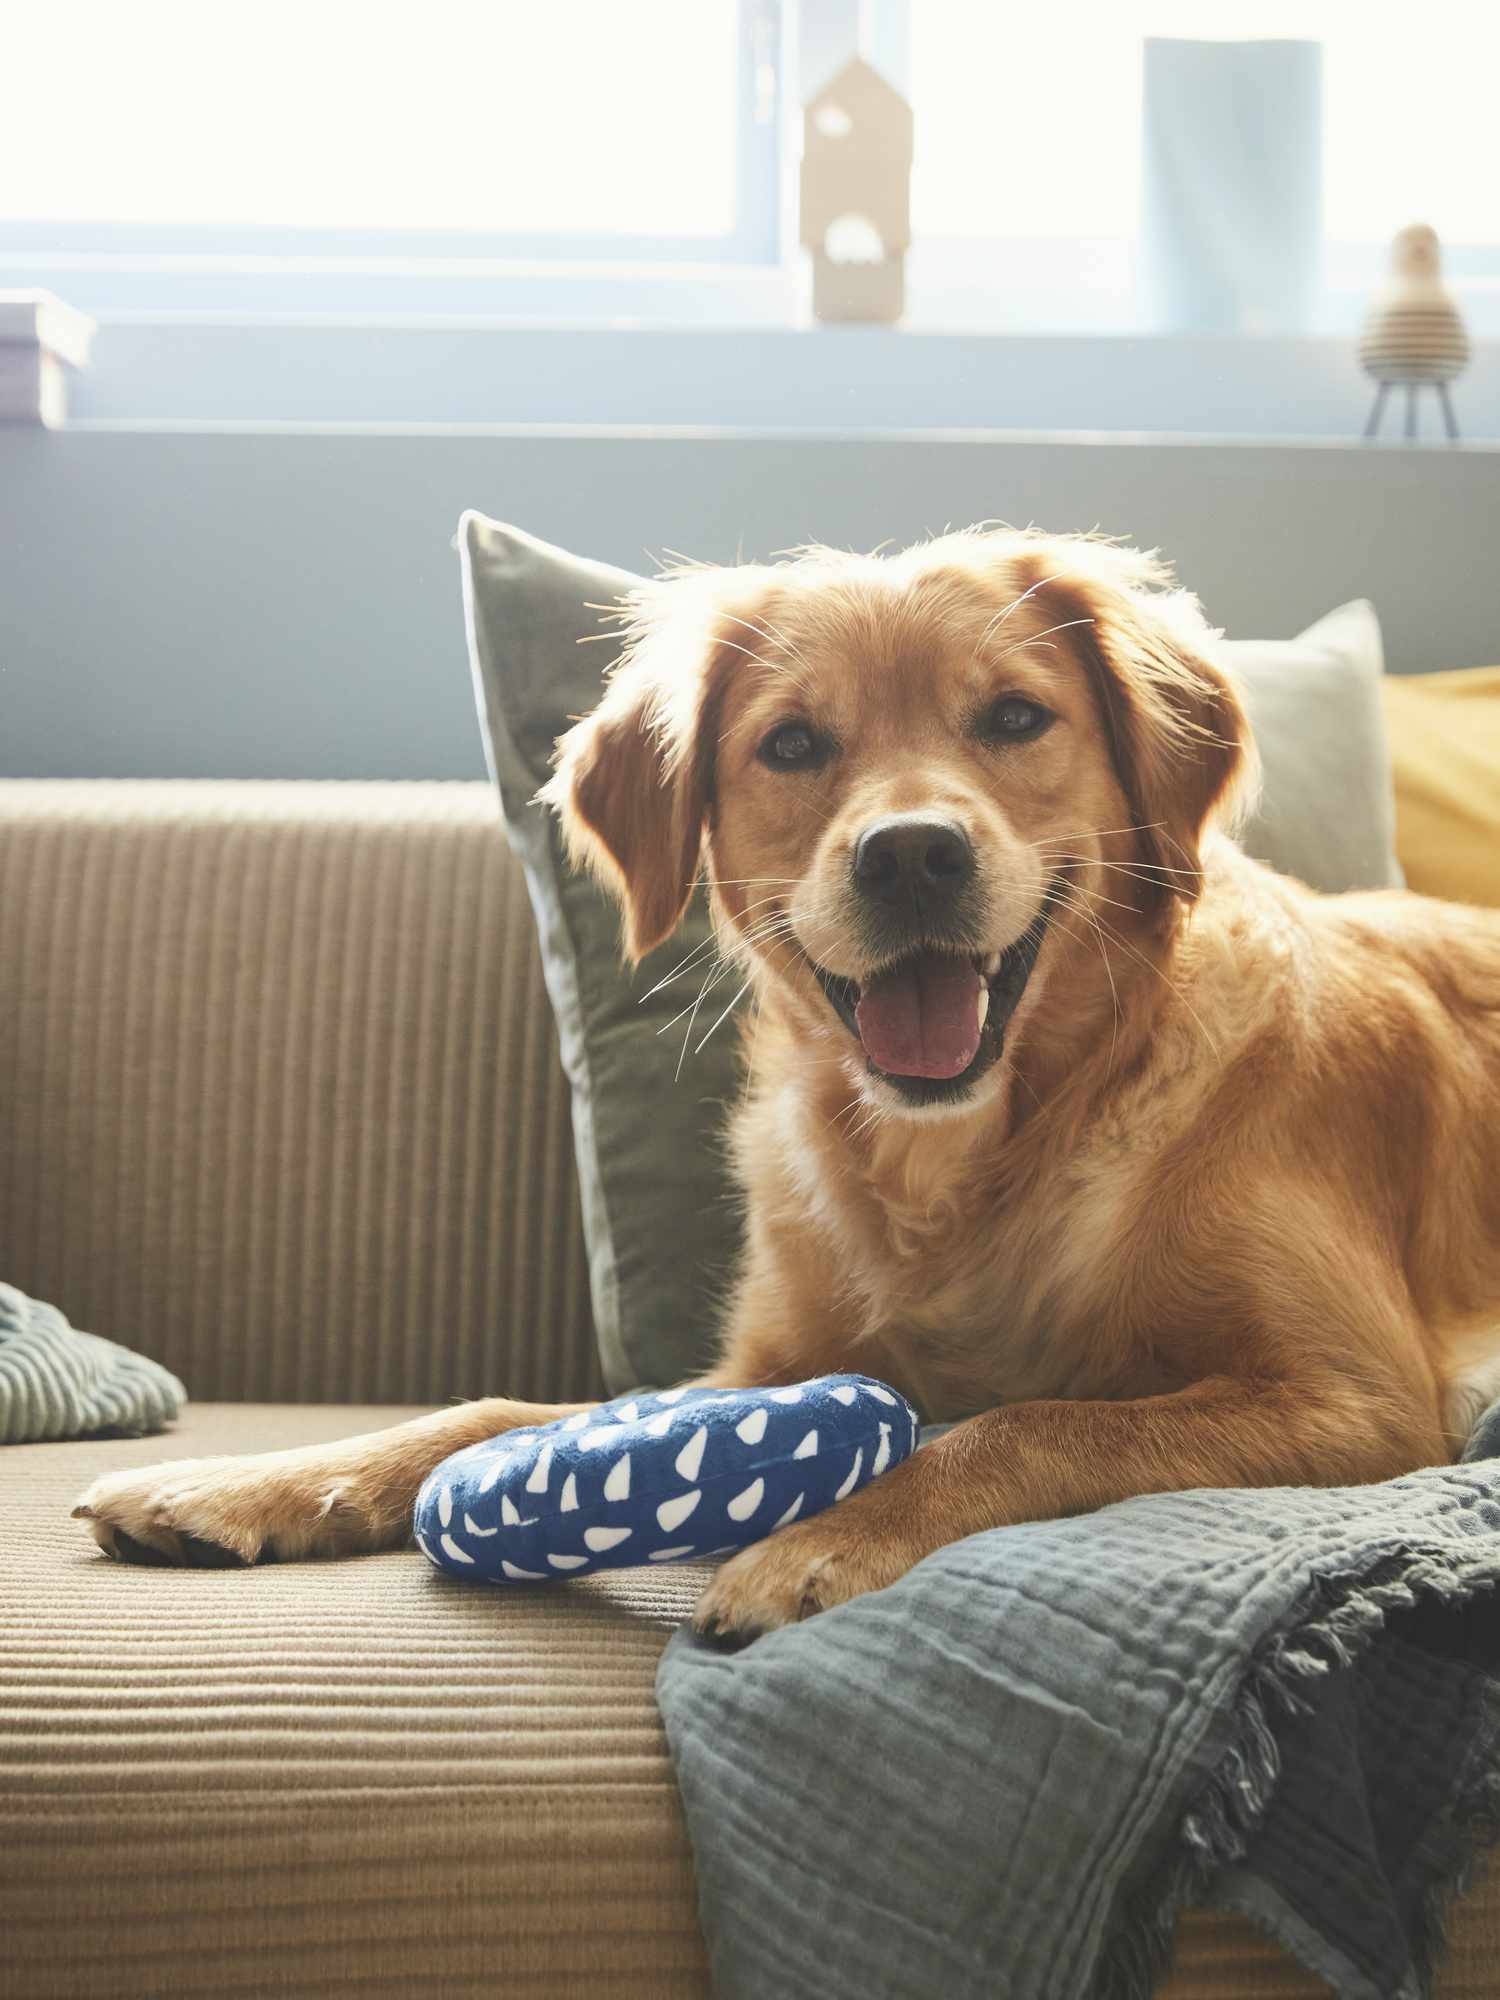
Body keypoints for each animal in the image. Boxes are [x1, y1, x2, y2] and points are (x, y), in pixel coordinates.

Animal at [70, 528, 1500, 1640]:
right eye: (796, 742)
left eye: (1014, 716)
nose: (912, 854)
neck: (977, 1153)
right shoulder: (771, 1361)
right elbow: (492, 1410)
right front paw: (241, 1483)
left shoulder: (1356, 1397)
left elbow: (1032, 1421)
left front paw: (825, 1540)